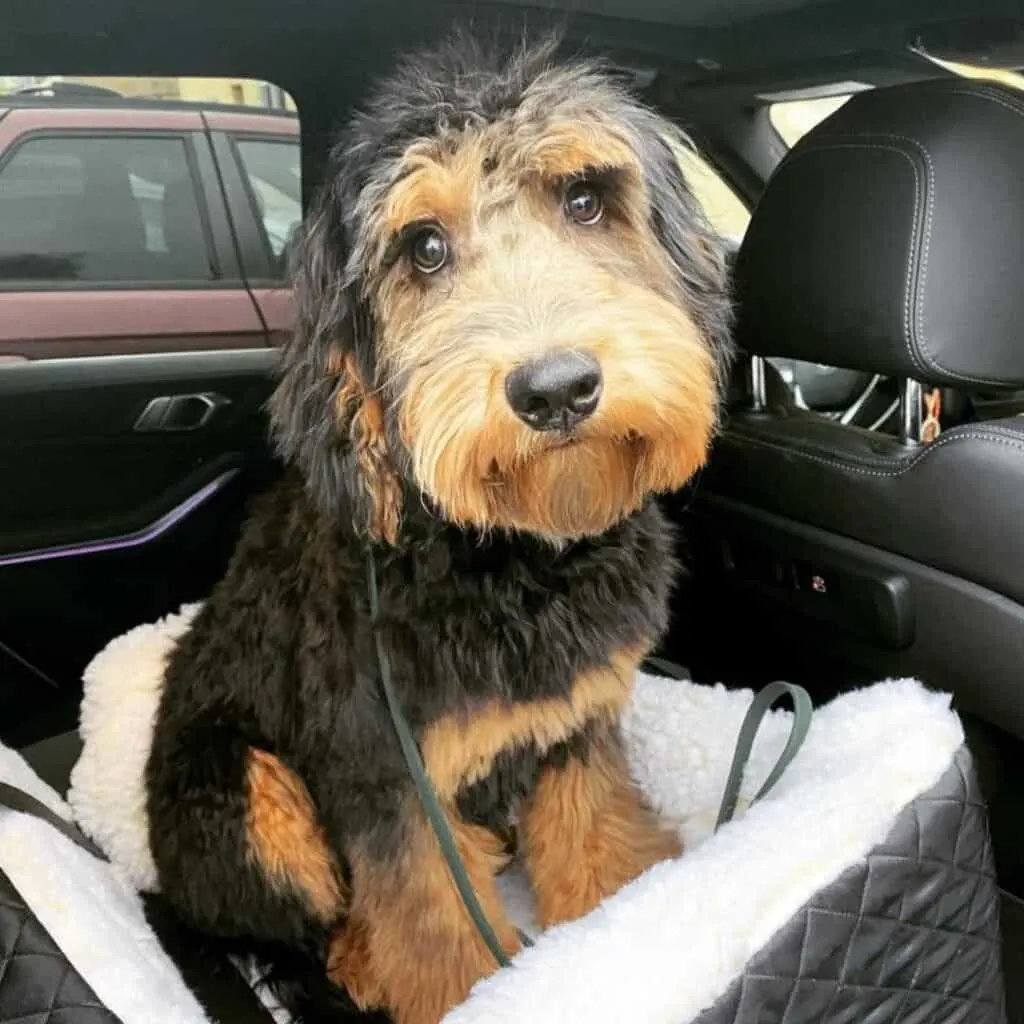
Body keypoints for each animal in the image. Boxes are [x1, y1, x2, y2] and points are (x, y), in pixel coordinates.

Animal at [146, 32, 737, 1024]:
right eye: (423, 248)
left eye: (585, 200)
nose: (557, 389)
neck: (507, 554)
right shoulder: (385, 772)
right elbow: (429, 924)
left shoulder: (575, 720)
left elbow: (596, 844)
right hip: (244, 794)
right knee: (304, 928)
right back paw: (353, 961)